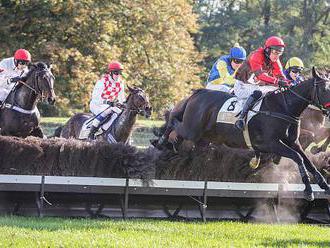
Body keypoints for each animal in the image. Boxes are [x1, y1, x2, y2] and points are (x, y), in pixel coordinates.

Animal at [153, 68, 330, 202]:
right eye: (324, 89)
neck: (284, 107)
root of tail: (199, 92)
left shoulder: (293, 143)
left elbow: (308, 161)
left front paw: (324, 185)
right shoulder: (269, 143)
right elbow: (298, 158)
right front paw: (308, 190)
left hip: (204, 138)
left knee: (181, 134)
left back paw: (170, 145)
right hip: (192, 129)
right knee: (173, 120)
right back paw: (162, 140)